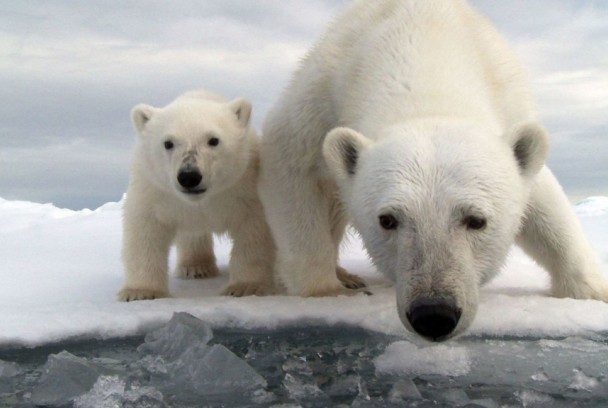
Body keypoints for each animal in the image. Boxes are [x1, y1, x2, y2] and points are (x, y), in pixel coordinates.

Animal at [258, 0, 608, 342]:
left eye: (477, 220)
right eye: (387, 219)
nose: (434, 314)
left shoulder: (508, 104)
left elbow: (545, 204)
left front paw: (594, 292)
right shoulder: (323, 94)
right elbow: (291, 165)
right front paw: (327, 290)